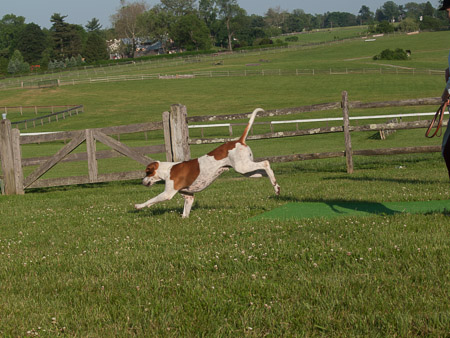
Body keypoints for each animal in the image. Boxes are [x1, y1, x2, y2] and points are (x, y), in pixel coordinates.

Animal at [134, 109, 282, 218]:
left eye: (147, 172)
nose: (142, 181)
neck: (168, 169)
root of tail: (239, 141)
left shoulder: (167, 194)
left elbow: (151, 200)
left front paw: (139, 206)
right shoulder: (189, 197)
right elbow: (185, 214)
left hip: (243, 167)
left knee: (266, 163)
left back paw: (274, 183)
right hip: (248, 171)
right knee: (264, 172)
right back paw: (275, 185)